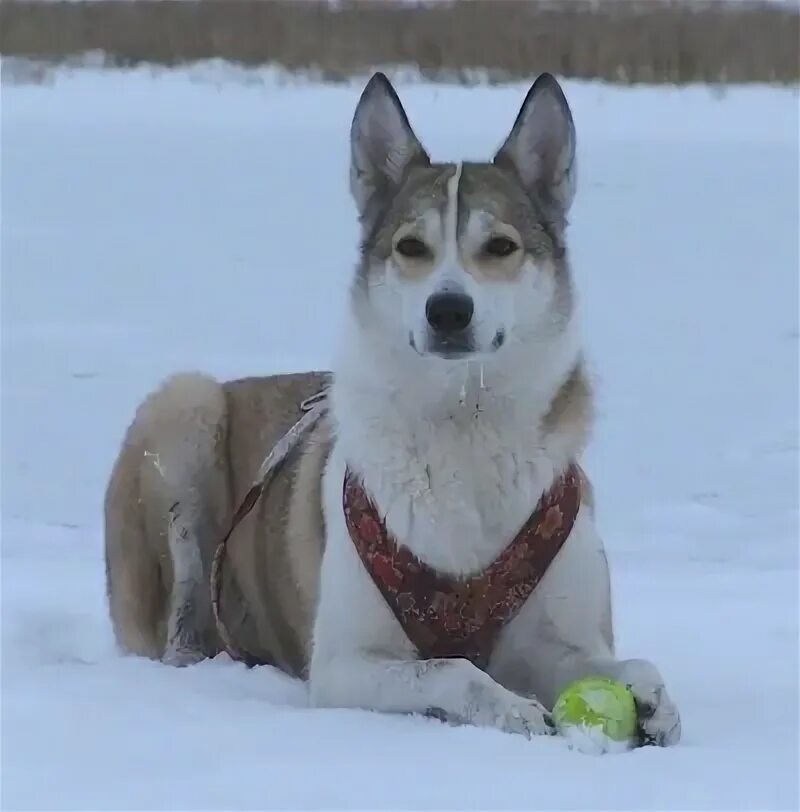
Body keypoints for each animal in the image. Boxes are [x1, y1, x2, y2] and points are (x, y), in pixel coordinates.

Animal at [103, 71, 680, 748]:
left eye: (500, 246)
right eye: (411, 246)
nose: (448, 310)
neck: (464, 425)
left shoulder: (560, 639)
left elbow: (628, 663)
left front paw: (653, 701)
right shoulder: (342, 666)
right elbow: (453, 668)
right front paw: (508, 709)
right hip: (183, 411)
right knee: (179, 624)